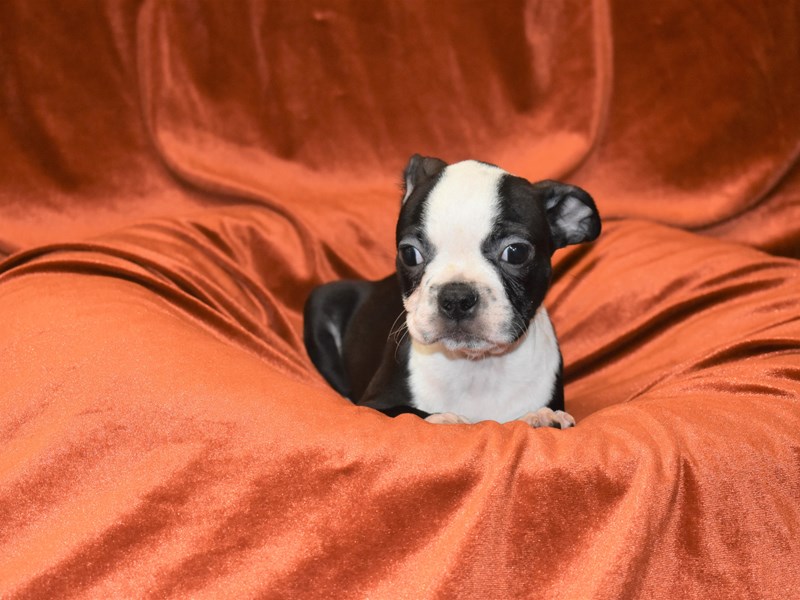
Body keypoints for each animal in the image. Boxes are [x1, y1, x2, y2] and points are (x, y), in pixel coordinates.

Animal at [304, 155, 600, 426]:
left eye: (516, 252)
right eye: (409, 253)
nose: (456, 297)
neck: (476, 365)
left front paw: (540, 417)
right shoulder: (373, 405)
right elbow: (407, 412)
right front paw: (445, 418)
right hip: (321, 302)